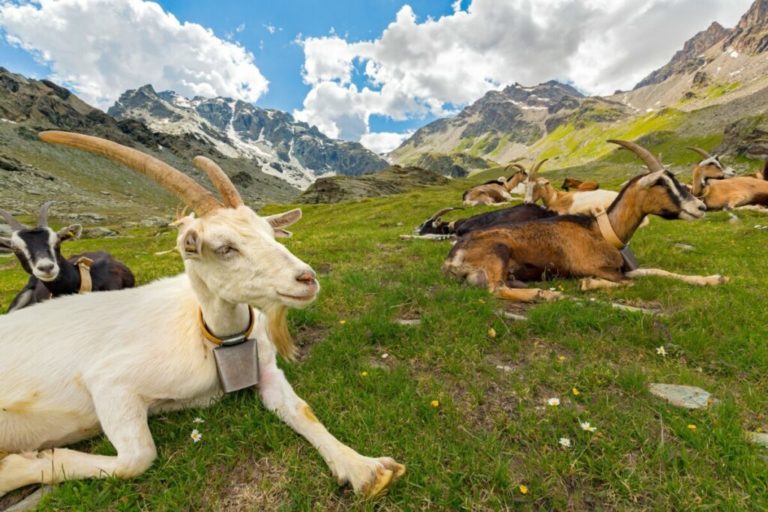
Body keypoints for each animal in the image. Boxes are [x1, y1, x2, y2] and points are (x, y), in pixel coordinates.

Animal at [443, 140, 726, 302]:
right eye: (660, 182)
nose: (700, 207)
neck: (603, 230)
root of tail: (451, 260)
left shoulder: (623, 268)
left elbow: (656, 271)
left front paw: (715, 279)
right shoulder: (600, 269)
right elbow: (631, 281)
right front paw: (587, 284)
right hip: (498, 253)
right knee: (495, 289)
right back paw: (546, 294)